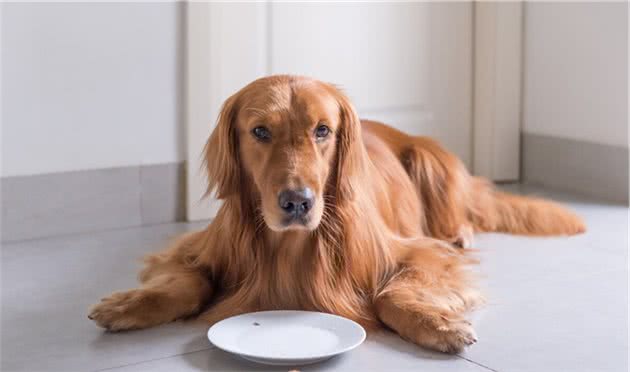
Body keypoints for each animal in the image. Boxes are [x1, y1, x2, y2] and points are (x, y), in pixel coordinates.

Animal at [89, 75, 588, 352]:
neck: (289, 245)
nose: (297, 202)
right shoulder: (186, 250)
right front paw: (130, 303)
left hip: (430, 159)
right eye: (260, 131)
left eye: (322, 130)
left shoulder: (421, 254)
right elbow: (187, 282)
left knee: (459, 214)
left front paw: (435, 323)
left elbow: (391, 294)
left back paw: (461, 232)